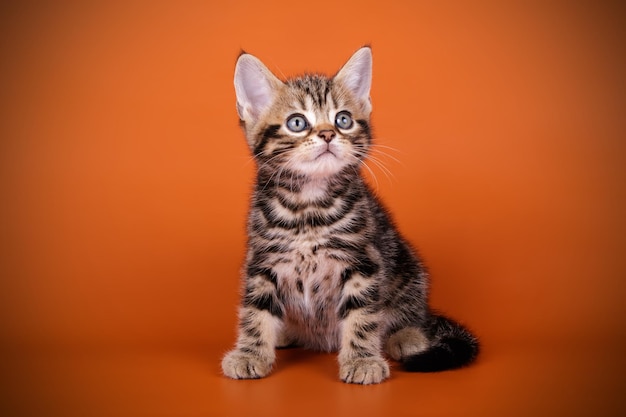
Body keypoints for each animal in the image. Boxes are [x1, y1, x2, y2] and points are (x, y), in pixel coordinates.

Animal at [221, 46, 478, 384]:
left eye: (343, 120)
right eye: (297, 123)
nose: (329, 134)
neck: (309, 207)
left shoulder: (363, 261)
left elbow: (362, 315)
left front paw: (362, 360)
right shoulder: (262, 261)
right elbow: (256, 311)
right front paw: (250, 353)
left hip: (408, 267)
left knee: (410, 313)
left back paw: (407, 336)